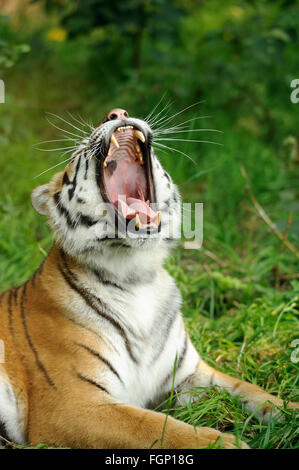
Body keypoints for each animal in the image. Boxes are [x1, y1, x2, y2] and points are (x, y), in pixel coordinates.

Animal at [0, 106, 298, 448]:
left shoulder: (189, 375)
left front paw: (291, 412)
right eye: (76, 156)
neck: (137, 274)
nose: (116, 112)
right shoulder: (73, 403)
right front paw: (226, 443)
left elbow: (251, 391)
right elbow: (155, 427)